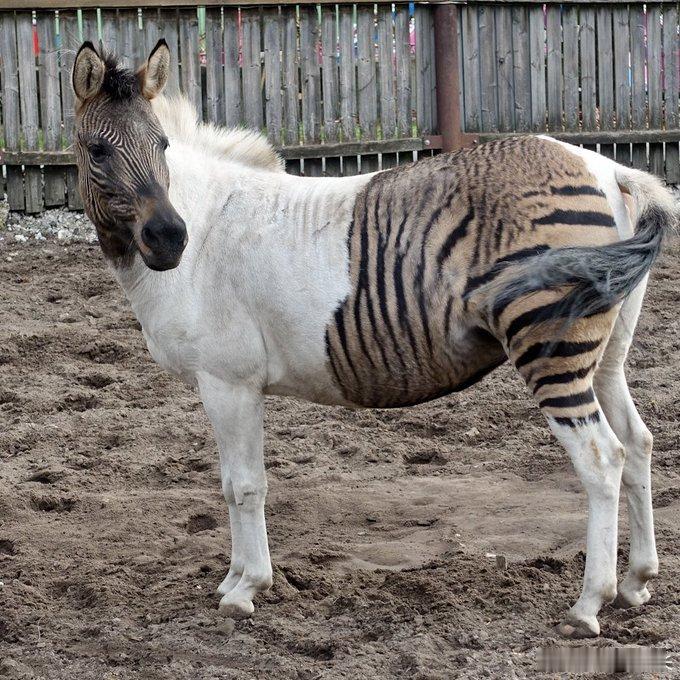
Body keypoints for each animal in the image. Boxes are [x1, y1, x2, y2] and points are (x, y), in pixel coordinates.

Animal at [71, 39, 678, 638]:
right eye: (97, 150)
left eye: (162, 145)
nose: (170, 240)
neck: (207, 228)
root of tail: (606, 169)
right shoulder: (225, 386)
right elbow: (228, 483)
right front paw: (232, 581)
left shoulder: (228, 382)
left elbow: (244, 485)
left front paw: (246, 590)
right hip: (604, 357)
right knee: (639, 443)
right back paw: (636, 582)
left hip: (552, 350)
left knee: (601, 459)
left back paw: (589, 604)